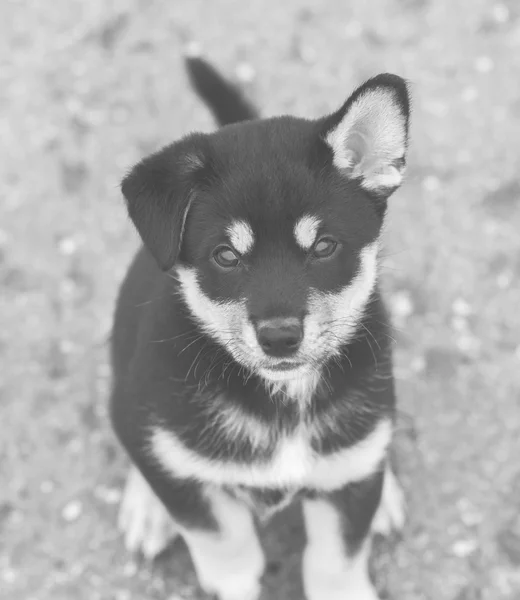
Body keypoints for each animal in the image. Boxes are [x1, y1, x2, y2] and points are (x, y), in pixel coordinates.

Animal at [111, 52, 412, 600]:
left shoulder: (344, 488)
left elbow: (335, 562)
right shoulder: (191, 489)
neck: (283, 399)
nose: (279, 337)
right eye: (226, 256)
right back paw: (147, 509)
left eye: (324, 246)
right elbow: (225, 544)